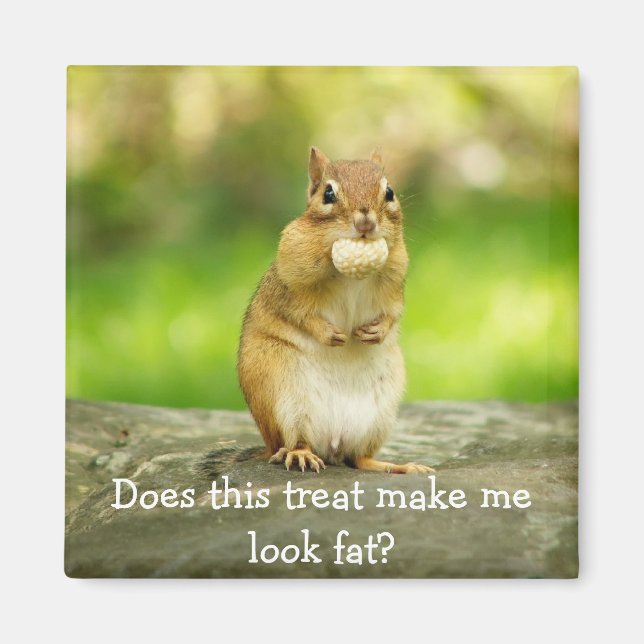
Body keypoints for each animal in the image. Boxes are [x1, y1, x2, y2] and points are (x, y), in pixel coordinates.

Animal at [235, 147, 434, 475]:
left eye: (389, 192)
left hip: (380, 414)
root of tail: (332, 444)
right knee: (293, 442)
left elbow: (393, 313)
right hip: (281, 396)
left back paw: (399, 466)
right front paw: (329, 334)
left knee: (359, 459)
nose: (365, 222)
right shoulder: (289, 282)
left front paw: (376, 331)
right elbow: (299, 313)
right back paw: (300, 455)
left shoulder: (395, 282)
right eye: (328, 194)